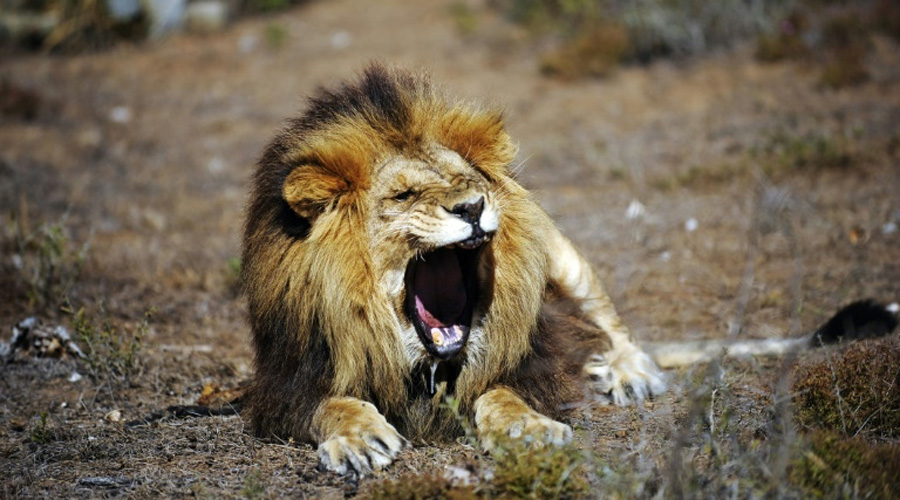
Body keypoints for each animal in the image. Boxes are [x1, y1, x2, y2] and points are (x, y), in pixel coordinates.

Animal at [240, 64, 673, 475]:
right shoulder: (288, 383)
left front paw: (527, 428)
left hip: (563, 259)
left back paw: (632, 375)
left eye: (468, 180)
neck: (428, 366)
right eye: (403, 195)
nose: (472, 206)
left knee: (610, 322)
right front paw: (359, 438)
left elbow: (501, 392)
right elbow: (331, 404)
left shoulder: (534, 367)